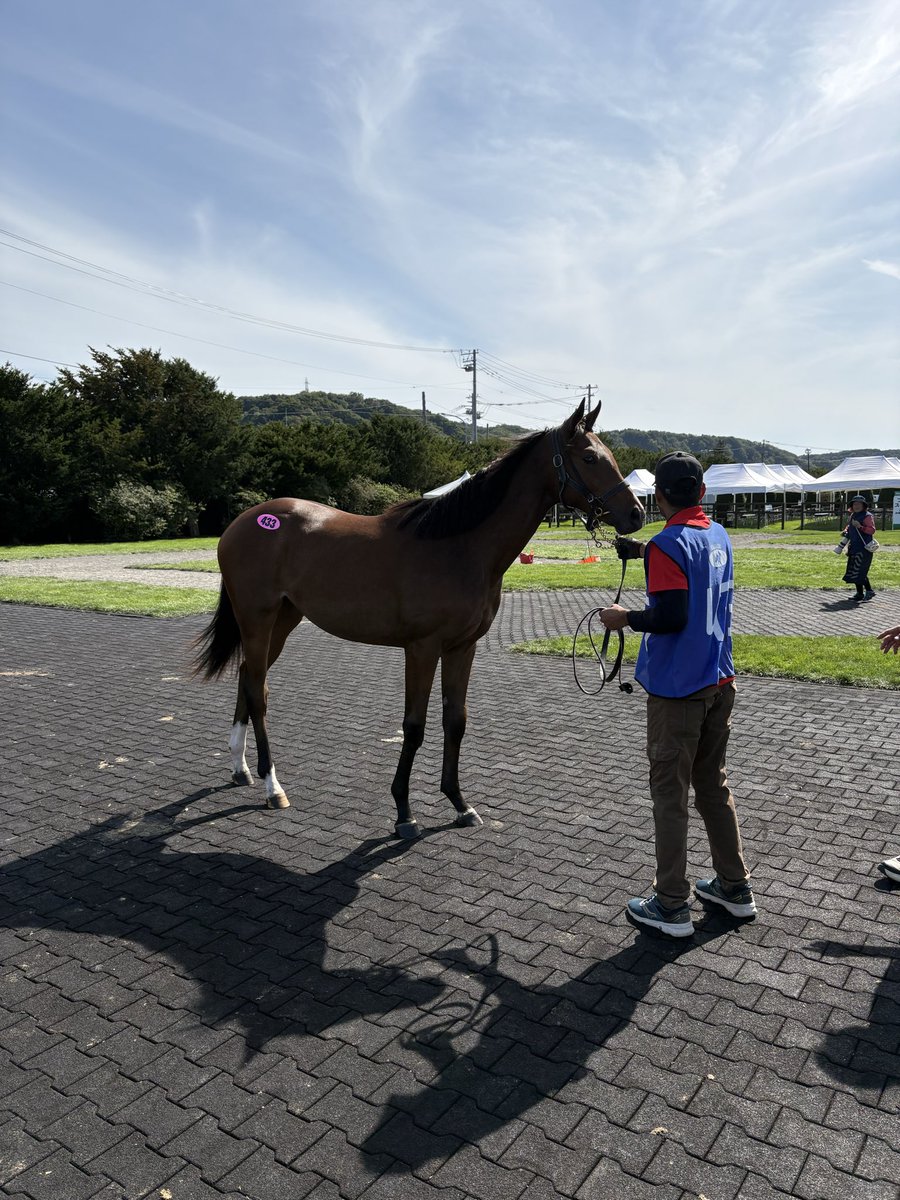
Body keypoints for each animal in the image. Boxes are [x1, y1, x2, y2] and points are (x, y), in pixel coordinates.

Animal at [194, 398, 644, 838]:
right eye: (589, 457)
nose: (637, 514)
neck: (459, 547)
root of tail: (241, 523)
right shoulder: (422, 649)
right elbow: (414, 725)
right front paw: (404, 812)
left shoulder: (463, 648)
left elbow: (455, 720)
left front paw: (460, 804)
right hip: (257, 619)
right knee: (258, 692)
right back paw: (273, 786)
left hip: (283, 621)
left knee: (247, 680)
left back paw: (240, 768)